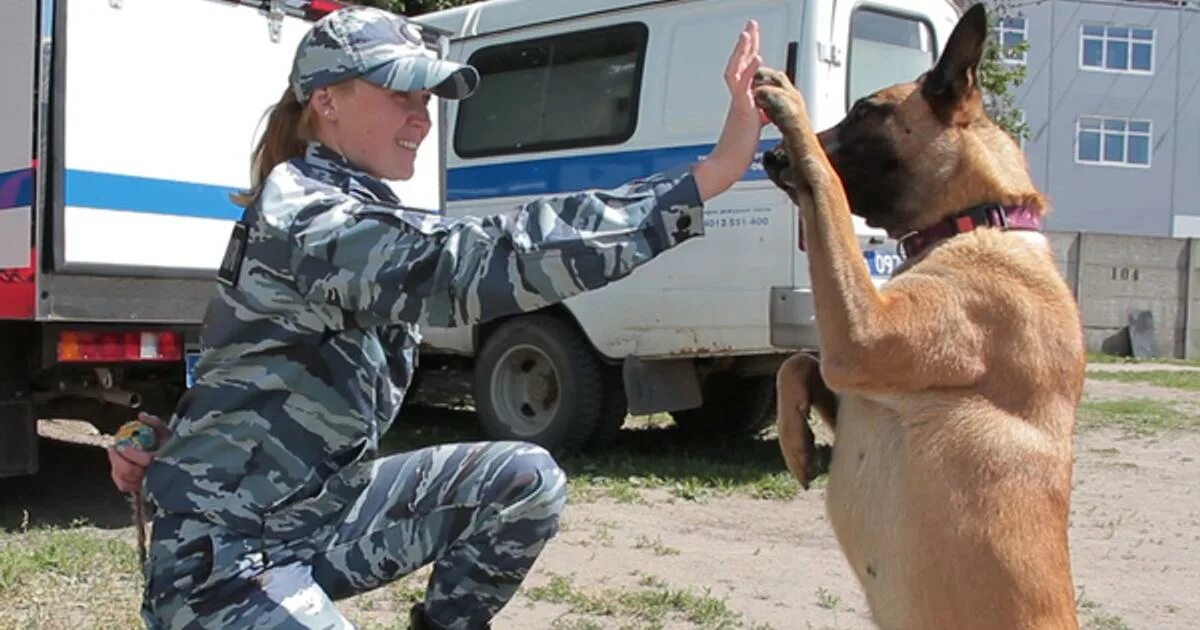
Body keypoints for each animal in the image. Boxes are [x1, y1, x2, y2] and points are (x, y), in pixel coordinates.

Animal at [758, 4, 1089, 628]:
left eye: (866, 111)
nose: (769, 156)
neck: (980, 218)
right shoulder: (858, 371)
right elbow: (796, 361)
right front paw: (795, 442)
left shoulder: (863, 337)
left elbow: (827, 190)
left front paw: (791, 109)